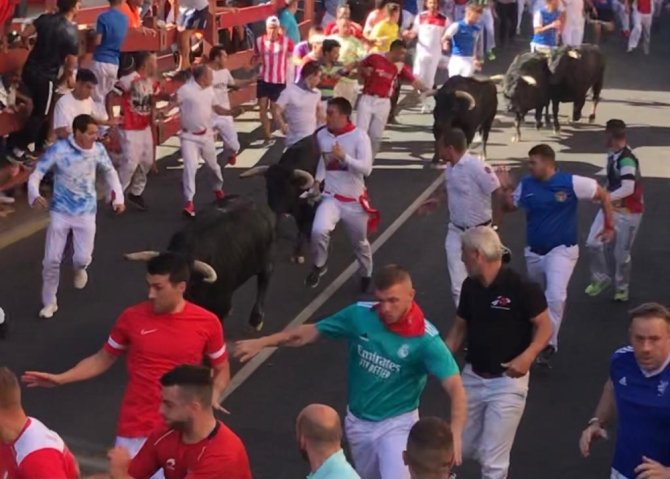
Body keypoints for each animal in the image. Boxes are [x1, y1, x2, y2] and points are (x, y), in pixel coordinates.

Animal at [123, 197, 276, 332]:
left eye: (186, 284)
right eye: (149, 283)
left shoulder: (220, 305)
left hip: (263, 259)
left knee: (265, 276)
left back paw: (256, 320)